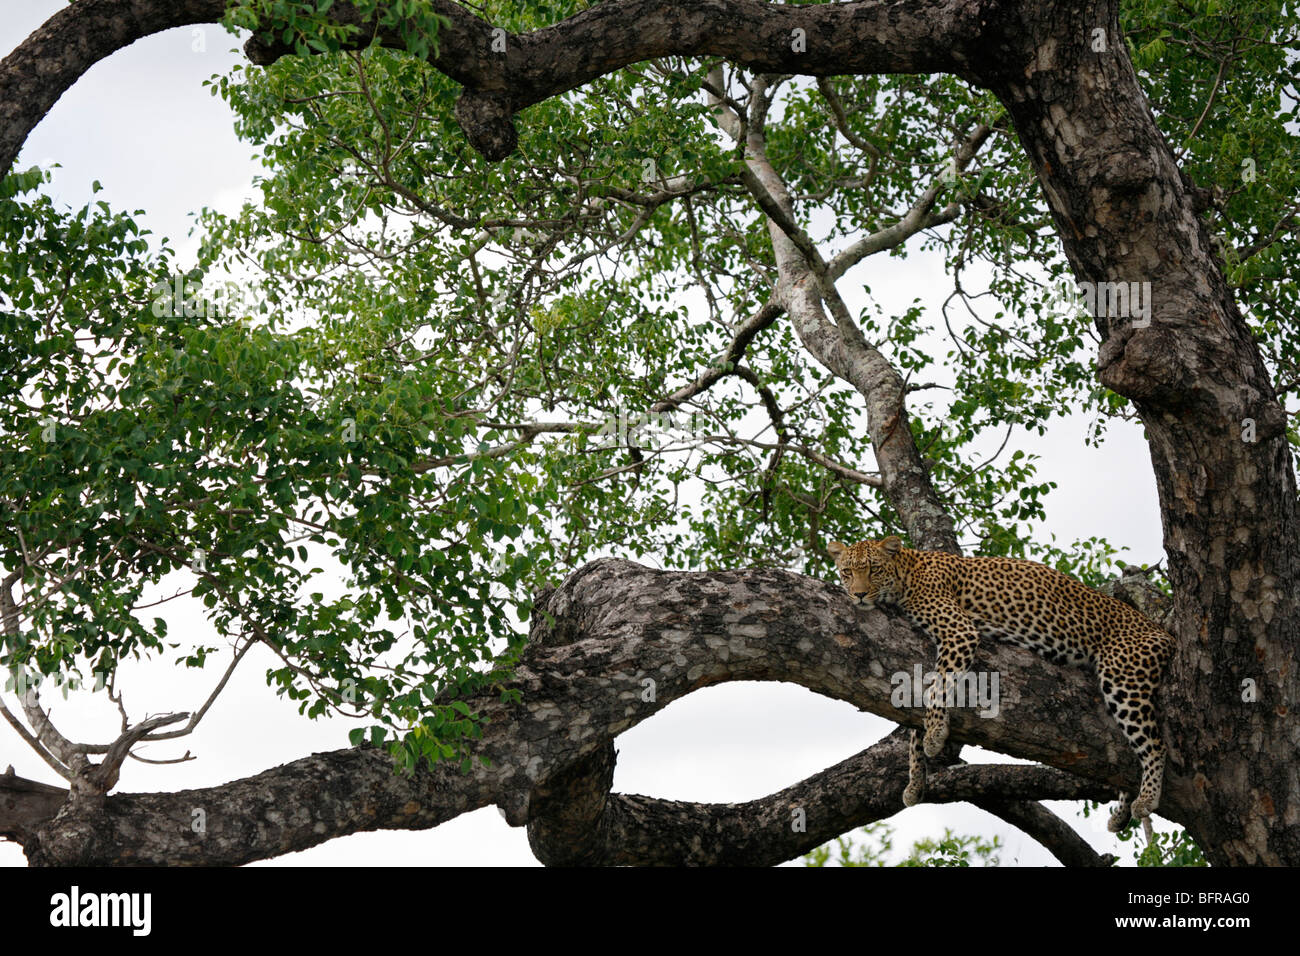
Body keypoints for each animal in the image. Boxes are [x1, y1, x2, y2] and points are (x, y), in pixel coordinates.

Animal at [828, 534, 1176, 838]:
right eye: (847, 572)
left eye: (873, 569)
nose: (858, 595)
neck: (907, 573)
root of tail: (1161, 630)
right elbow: (916, 715)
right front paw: (915, 780)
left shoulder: (960, 631)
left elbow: (938, 686)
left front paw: (936, 734)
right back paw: (1122, 810)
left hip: (1122, 676)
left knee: (1155, 744)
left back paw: (1146, 799)